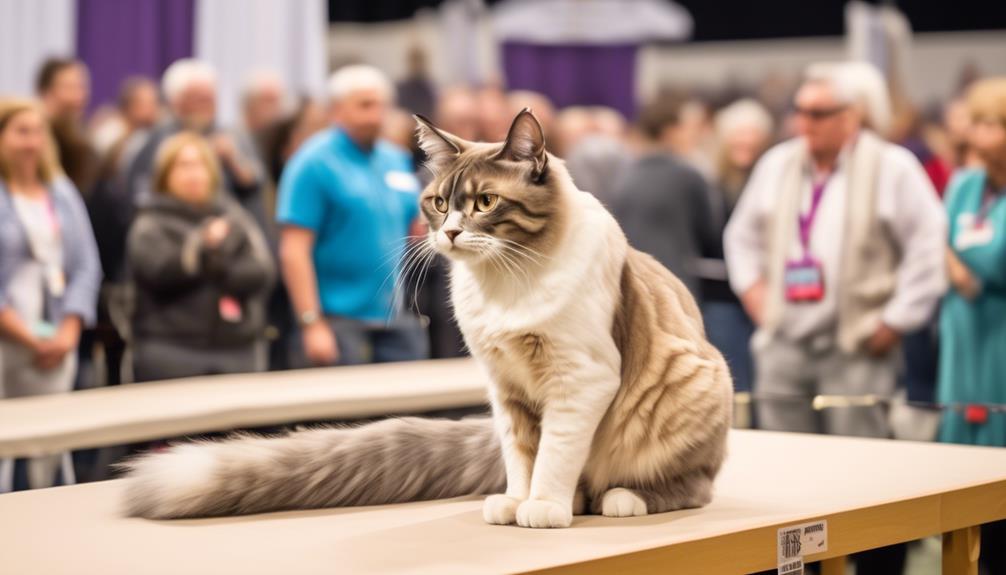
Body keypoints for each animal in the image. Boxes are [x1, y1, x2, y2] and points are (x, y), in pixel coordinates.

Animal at [121, 110, 736, 526]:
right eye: (440, 203)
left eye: (485, 203)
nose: (452, 233)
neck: (504, 282)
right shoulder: (507, 387)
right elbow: (523, 455)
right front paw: (517, 501)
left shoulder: (579, 380)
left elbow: (555, 455)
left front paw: (542, 507)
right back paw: (580, 500)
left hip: (692, 383)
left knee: (694, 487)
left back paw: (619, 500)